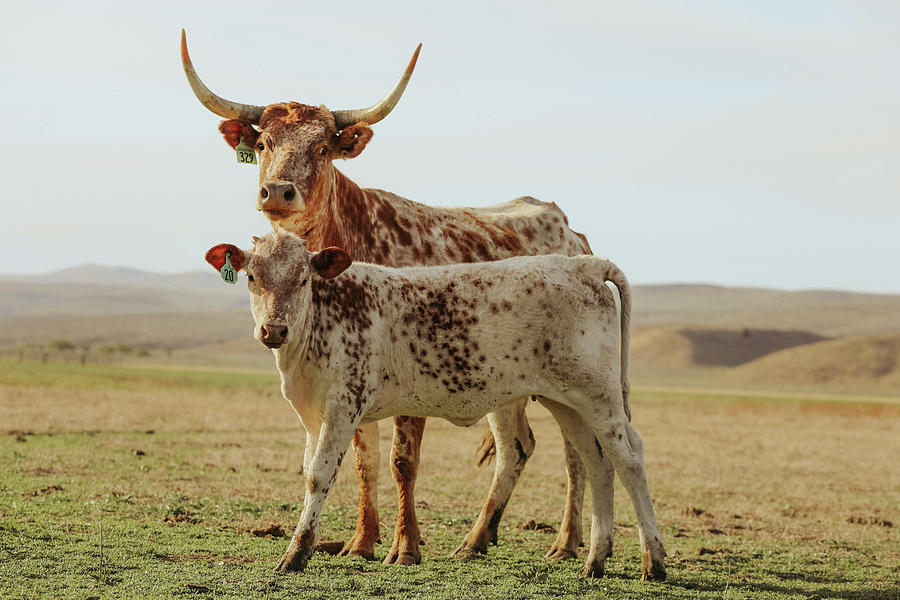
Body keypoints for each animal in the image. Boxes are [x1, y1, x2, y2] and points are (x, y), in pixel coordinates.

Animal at [206, 232, 668, 580]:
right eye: (251, 276)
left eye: (303, 279)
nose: (273, 329)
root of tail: (585, 265)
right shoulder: (311, 415)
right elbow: (310, 470)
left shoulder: (343, 405)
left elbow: (319, 476)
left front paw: (296, 554)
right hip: (567, 402)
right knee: (596, 461)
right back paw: (595, 559)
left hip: (599, 396)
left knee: (629, 457)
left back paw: (654, 560)